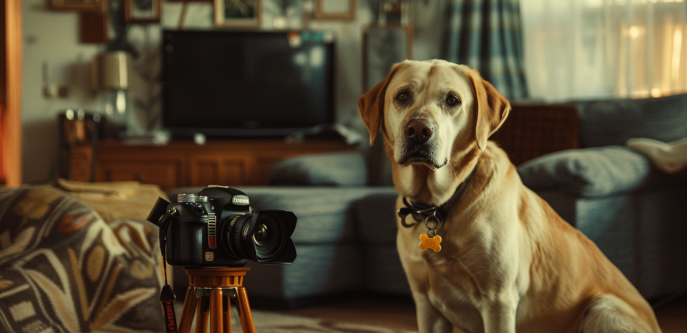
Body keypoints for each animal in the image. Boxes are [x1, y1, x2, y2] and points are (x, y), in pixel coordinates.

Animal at [358, 59, 664, 332]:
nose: (419, 130)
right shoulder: (426, 305)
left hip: (602, 308)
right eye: (402, 96)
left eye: (452, 100)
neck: (440, 204)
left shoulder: (498, 301)